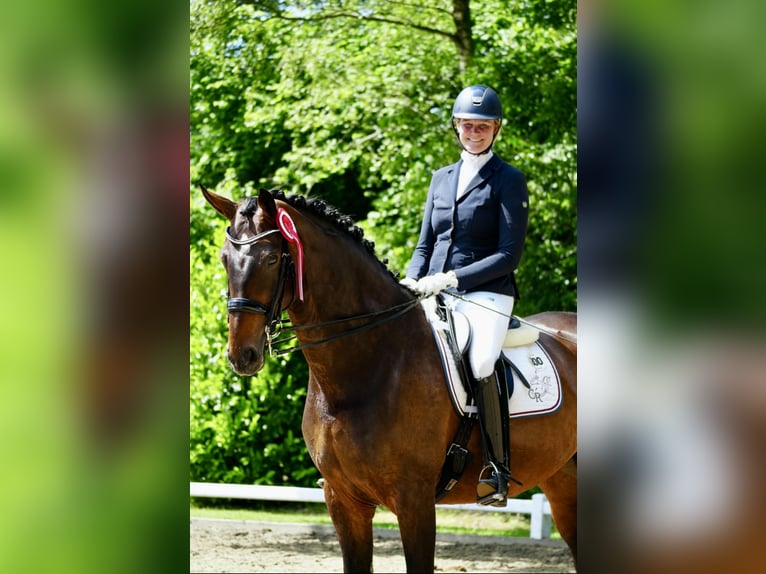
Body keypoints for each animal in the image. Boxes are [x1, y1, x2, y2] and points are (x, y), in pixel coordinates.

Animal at [200, 186, 577, 573]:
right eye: (224, 259)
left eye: (272, 258)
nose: (242, 354)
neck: (366, 367)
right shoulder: (343, 499)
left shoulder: (414, 501)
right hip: (562, 481)